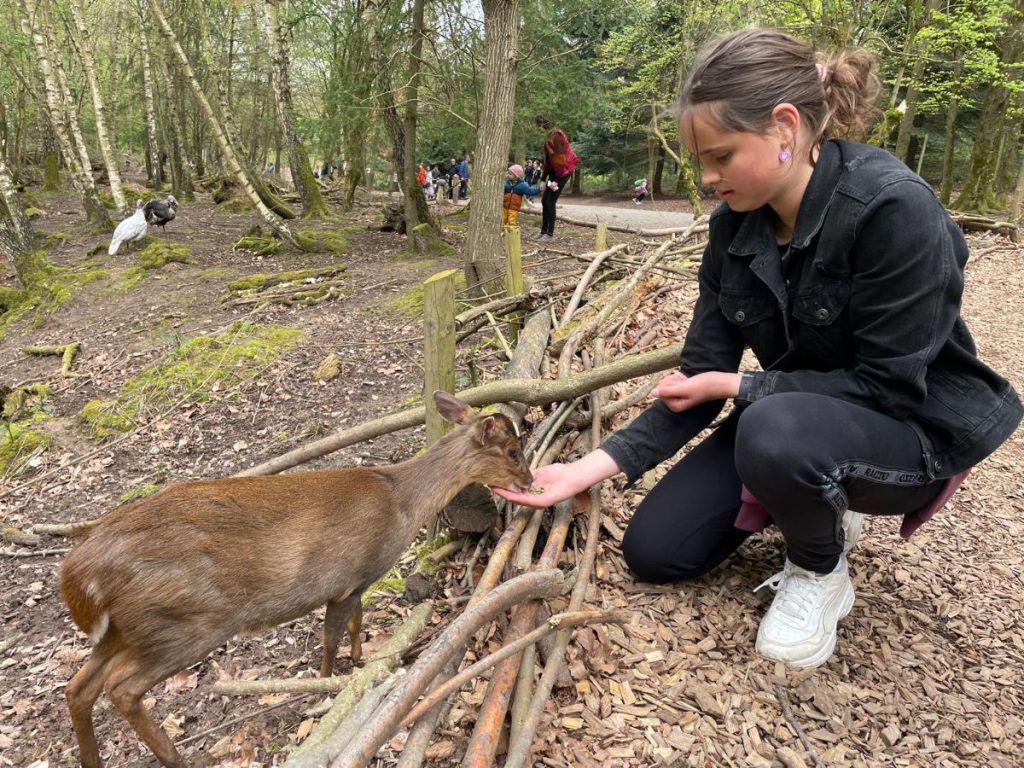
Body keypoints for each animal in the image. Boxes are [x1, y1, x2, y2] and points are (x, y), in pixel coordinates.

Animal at [59, 393, 532, 768]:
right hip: (184, 621)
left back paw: (92, 759)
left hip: (126, 630)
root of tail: (78, 574)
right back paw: (178, 759)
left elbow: (357, 622)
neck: (402, 502)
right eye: (513, 451)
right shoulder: (345, 579)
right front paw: (323, 687)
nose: (529, 480)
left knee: (78, 687)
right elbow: (329, 638)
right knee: (121, 688)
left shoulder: (359, 580)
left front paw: (360, 658)